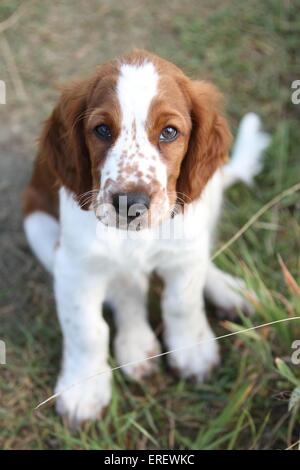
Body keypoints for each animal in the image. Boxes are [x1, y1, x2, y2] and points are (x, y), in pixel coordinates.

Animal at [21, 50, 270, 426]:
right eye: (102, 129)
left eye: (169, 132)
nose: (130, 203)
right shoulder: (74, 267)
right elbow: (86, 329)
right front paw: (84, 389)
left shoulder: (184, 247)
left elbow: (181, 302)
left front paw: (192, 350)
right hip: (38, 226)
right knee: (126, 288)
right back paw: (136, 344)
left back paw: (230, 291)